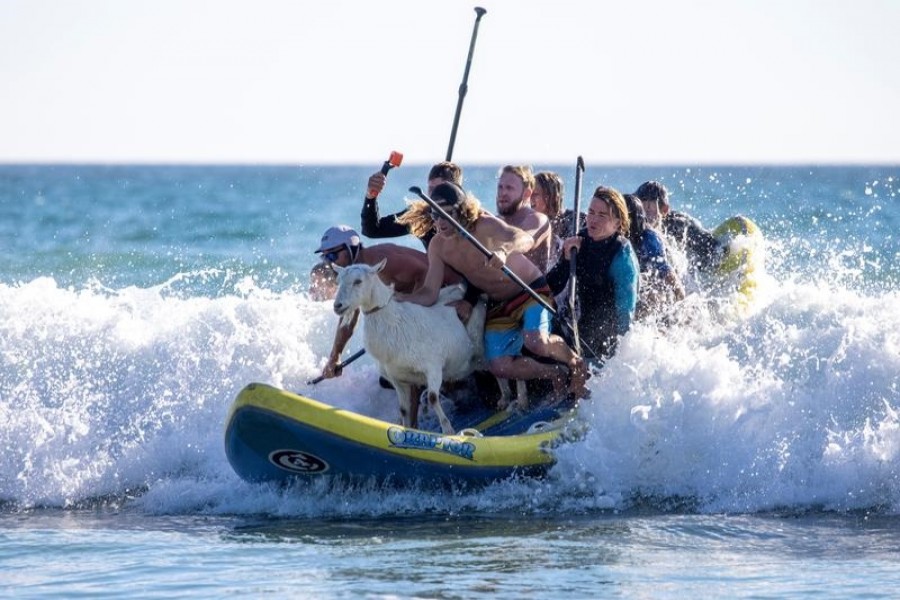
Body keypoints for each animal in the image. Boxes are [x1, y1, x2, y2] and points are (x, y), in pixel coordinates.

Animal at [330, 260, 486, 434]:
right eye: (338, 281)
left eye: (358, 281)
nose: (337, 306)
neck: (395, 322)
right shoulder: (397, 378)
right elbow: (404, 409)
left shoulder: (433, 366)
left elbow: (432, 397)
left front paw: (448, 431)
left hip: (480, 349)